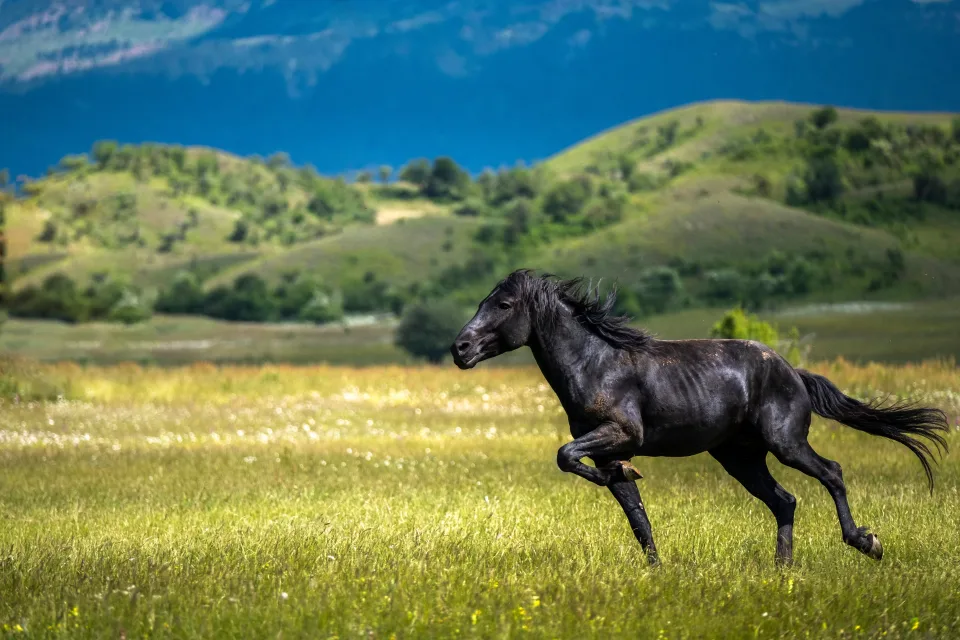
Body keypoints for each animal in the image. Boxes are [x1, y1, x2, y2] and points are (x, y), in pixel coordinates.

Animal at [449, 269, 950, 566]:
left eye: (504, 305)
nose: (460, 349)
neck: (597, 364)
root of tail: (793, 371)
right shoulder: (609, 449)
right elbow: (633, 512)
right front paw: (654, 567)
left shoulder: (620, 433)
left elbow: (565, 455)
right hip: (740, 457)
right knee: (785, 500)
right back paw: (782, 570)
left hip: (786, 443)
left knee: (832, 473)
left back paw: (866, 542)